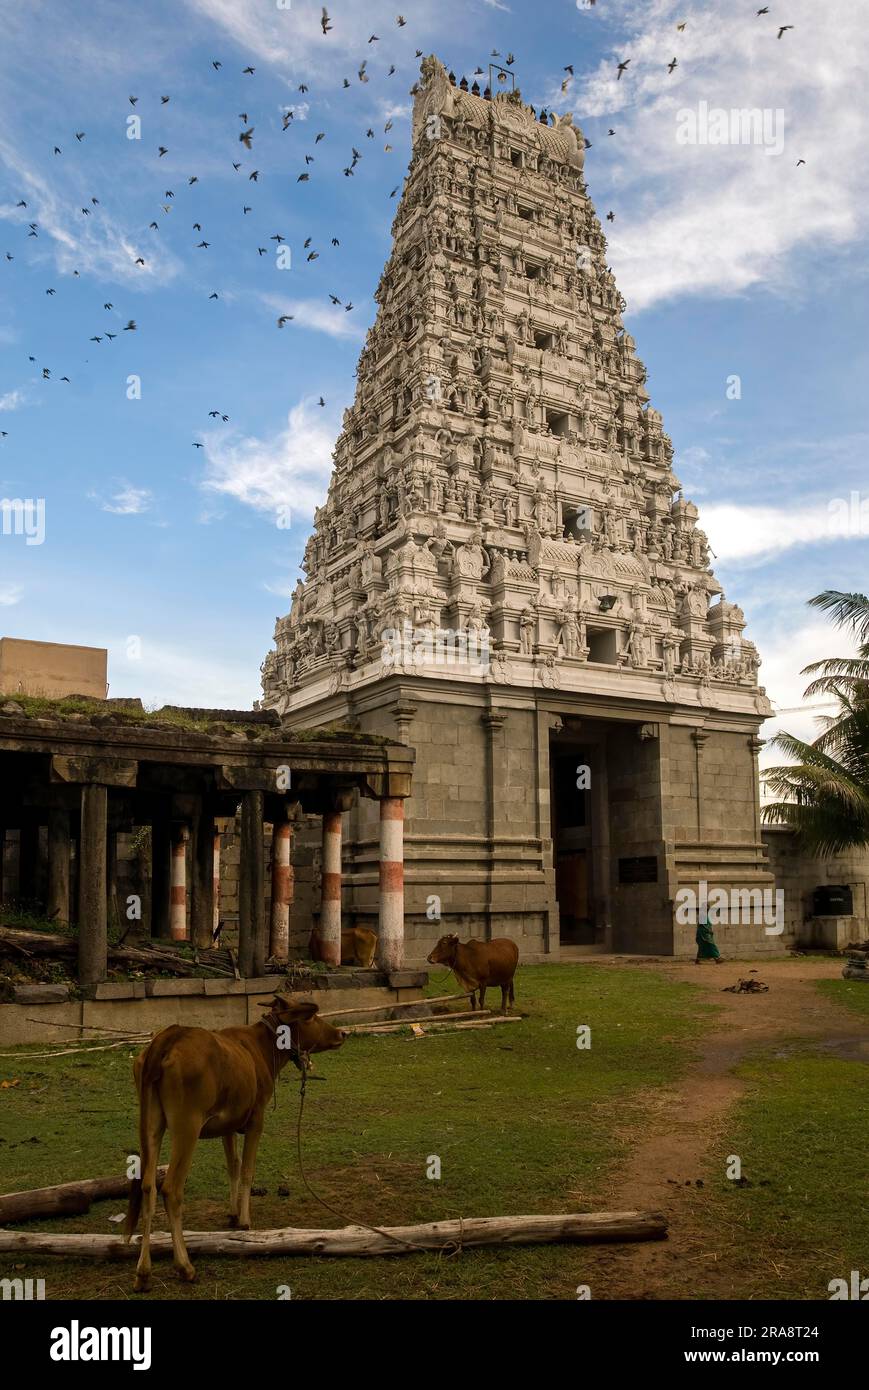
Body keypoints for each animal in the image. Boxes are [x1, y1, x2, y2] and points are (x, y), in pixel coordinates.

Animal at [124, 995, 346, 1284]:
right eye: (310, 1018)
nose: (341, 1033)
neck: (266, 1052)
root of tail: (164, 1041)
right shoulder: (256, 1118)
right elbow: (248, 1169)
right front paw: (244, 1220)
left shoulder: (227, 1124)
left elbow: (233, 1165)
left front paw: (231, 1212)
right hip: (187, 1123)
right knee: (171, 1189)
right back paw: (184, 1266)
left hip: (151, 1123)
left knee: (148, 1186)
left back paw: (143, 1271)